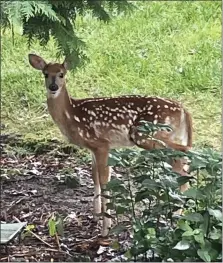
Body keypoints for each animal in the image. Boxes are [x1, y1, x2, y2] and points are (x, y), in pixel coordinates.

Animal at [27, 53, 192, 237]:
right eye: (45, 74)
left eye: (62, 74)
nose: (53, 86)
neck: (72, 115)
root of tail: (184, 111)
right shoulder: (95, 148)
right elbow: (95, 177)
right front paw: (95, 216)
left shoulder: (101, 144)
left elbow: (104, 180)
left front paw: (106, 228)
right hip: (171, 136)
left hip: (148, 134)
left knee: (180, 157)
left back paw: (177, 216)